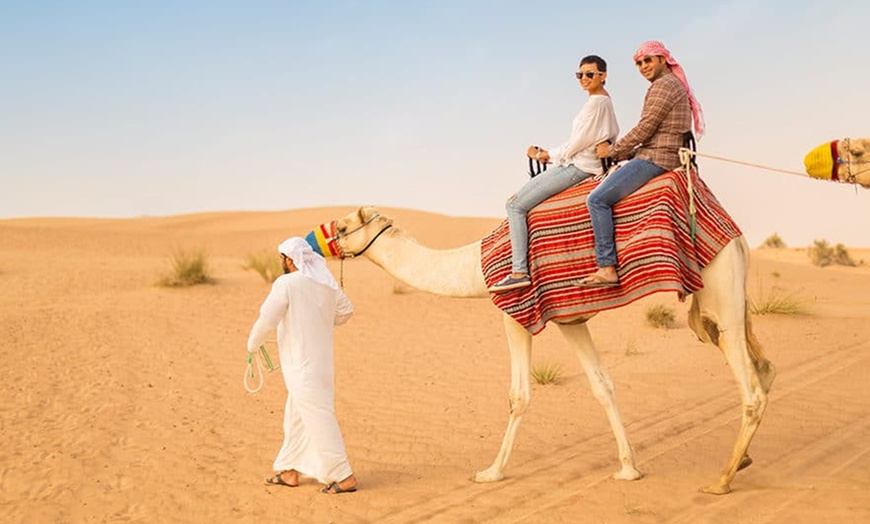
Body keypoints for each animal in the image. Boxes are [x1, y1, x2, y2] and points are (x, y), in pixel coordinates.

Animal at [322, 206, 776, 496]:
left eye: (342, 228)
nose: (318, 238)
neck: (474, 267)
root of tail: (739, 238)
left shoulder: (515, 313)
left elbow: (519, 395)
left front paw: (491, 472)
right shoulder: (569, 320)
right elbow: (602, 385)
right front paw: (628, 468)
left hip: (719, 292)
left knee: (751, 387)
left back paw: (721, 480)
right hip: (724, 302)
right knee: (765, 367)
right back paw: (744, 460)